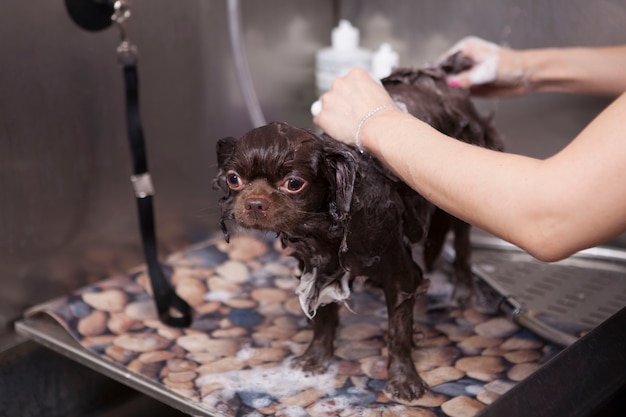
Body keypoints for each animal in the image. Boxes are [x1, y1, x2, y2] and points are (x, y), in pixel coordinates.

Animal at [212, 62, 500, 400]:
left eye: (293, 183)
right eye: (233, 178)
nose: (255, 203)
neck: (328, 229)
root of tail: (441, 74)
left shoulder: (400, 275)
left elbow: (397, 333)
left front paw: (404, 380)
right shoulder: (317, 269)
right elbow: (323, 318)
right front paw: (315, 359)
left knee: (464, 247)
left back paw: (465, 292)